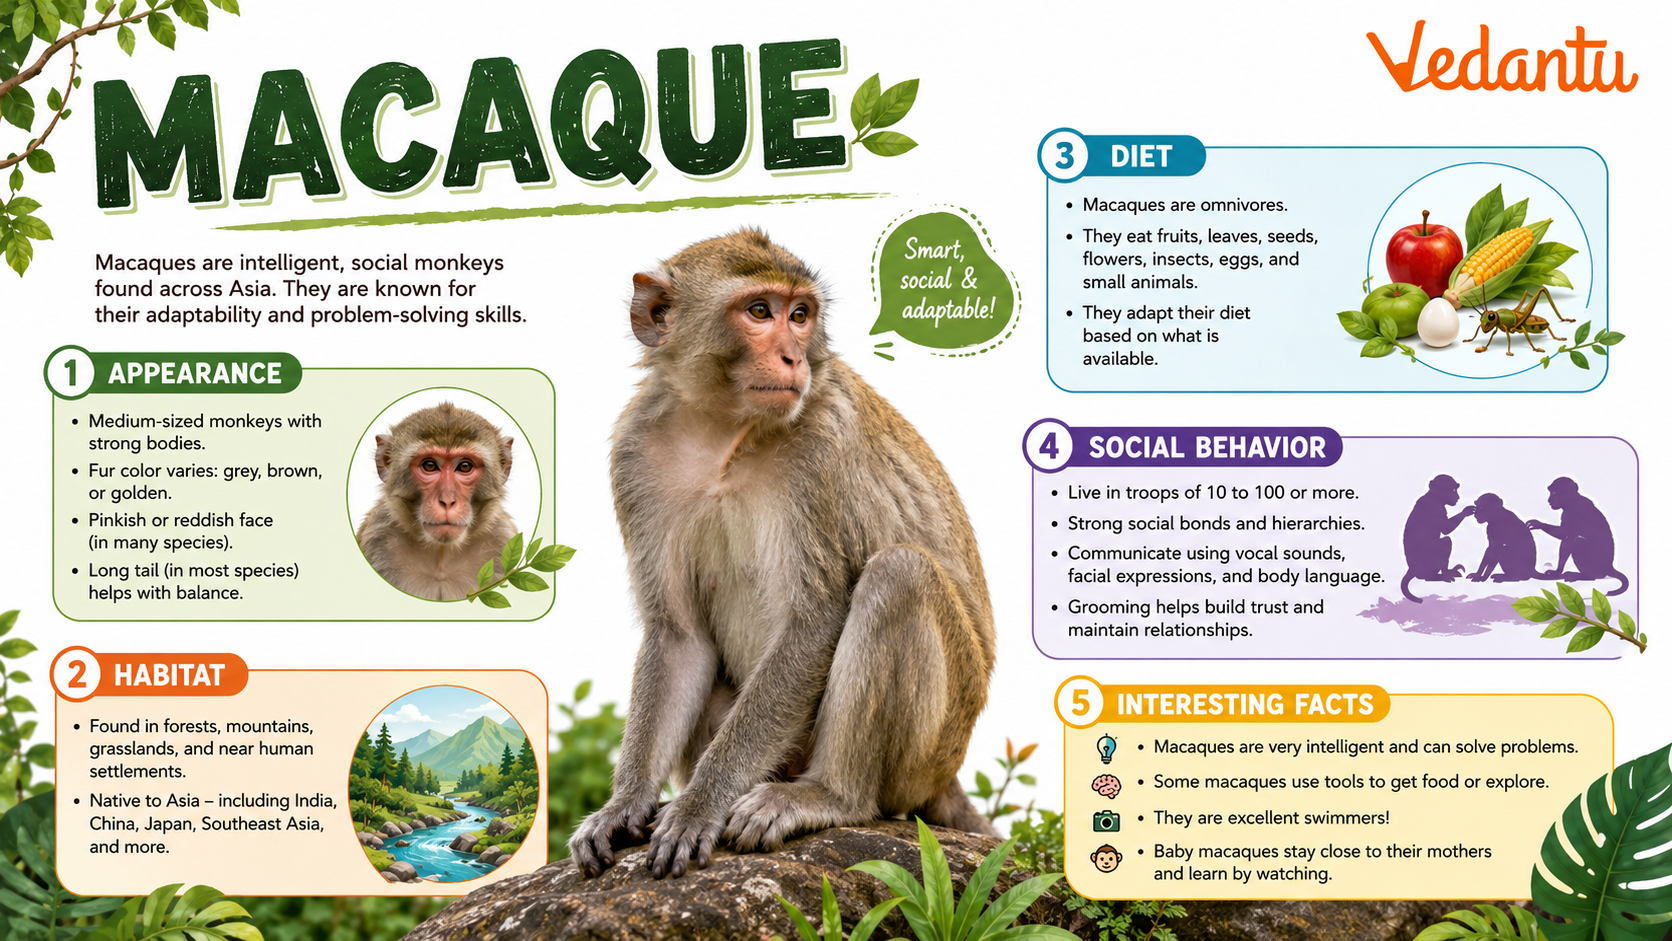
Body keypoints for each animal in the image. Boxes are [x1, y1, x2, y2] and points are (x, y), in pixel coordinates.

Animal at [355, 403, 517, 601]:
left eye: (465, 466)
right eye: (429, 465)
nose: (447, 501)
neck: (441, 556)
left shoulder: (502, 543)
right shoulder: (378, 540)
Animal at [568, 229, 997, 880]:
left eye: (800, 316)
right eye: (758, 311)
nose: (794, 358)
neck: (722, 429)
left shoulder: (822, 447)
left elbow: (814, 621)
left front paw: (697, 807)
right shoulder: (634, 454)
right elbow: (678, 636)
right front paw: (625, 804)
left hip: (929, 753)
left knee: (899, 575)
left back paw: (828, 795)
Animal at [1399, 474, 1474, 603]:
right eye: (1453, 490)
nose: (1458, 497)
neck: (1434, 497)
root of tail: (1411, 569)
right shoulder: (1437, 509)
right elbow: (1446, 529)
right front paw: (1467, 510)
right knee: (1445, 542)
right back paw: (1444, 575)